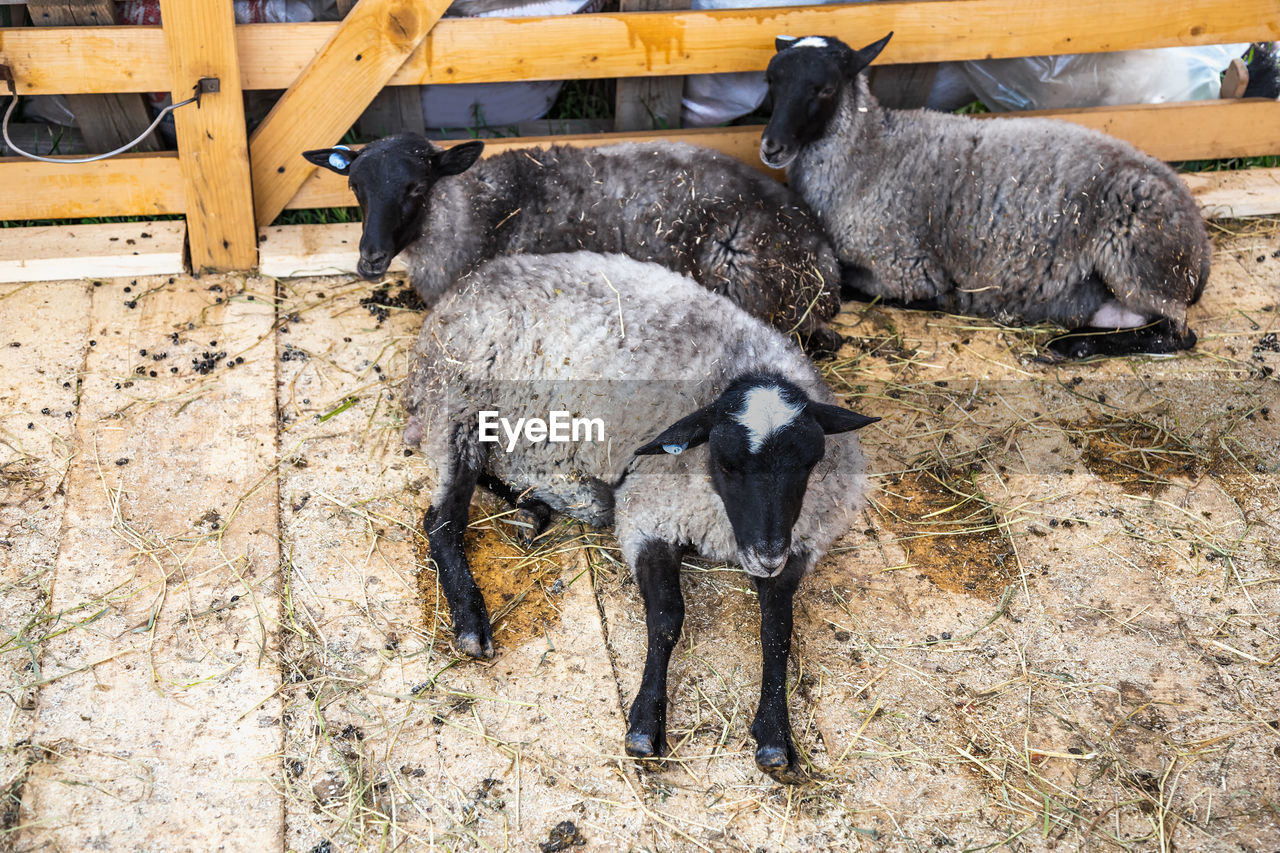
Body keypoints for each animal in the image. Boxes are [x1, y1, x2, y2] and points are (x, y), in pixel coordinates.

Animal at [404, 247, 875, 778]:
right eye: (726, 462)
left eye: (809, 462)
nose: (766, 554)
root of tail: (466, 284)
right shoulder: (650, 518)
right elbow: (668, 617)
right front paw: (646, 724)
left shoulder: (798, 547)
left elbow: (776, 632)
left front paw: (775, 735)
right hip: (461, 408)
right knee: (441, 522)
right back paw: (470, 622)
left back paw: (535, 508)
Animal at [757, 32, 1208, 358]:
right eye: (771, 81)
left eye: (825, 88)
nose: (771, 147)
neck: (869, 153)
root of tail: (1200, 246)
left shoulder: (906, 268)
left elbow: (851, 285)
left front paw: (941, 300)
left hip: (1137, 258)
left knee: (1176, 332)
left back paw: (1070, 346)